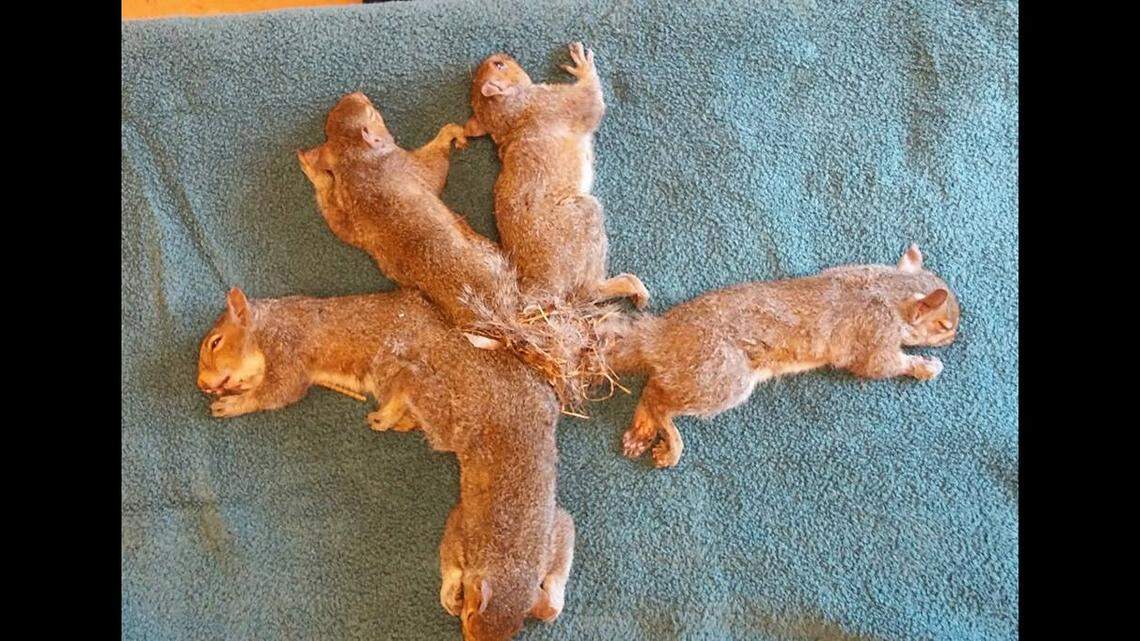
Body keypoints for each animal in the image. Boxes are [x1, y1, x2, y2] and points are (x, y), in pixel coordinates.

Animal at [195, 287, 574, 639]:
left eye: (215, 342)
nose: (202, 384)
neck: (269, 326)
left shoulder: (288, 349)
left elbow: (278, 391)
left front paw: (234, 403)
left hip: (423, 381)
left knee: (408, 389)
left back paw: (390, 414)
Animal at [298, 92, 520, 339]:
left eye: (328, 128)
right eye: (371, 114)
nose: (357, 94)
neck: (356, 162)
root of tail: (495, 311)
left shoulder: (349, 214)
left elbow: (336, 221)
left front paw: (311, 167)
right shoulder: (408, 166)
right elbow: (435, 168)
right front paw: (450, 133)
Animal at [465, 42, 649, 310]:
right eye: (499, 65)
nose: (497, 55)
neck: (510, 115)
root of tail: (540, 287)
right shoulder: (554, 102)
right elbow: (590, 101)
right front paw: (583, 68)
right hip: (583, 218)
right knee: (587, 291)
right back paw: (626, 286)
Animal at [605, 245, 961, 468]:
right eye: (943, 324)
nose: (955, 336)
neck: (886, 290)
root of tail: (660, 335)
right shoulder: (875, 337)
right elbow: (885, 365)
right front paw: (926, 366)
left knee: (652, 387)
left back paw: (641, 430)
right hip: (722, 376)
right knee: (660, 400)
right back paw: (670, 441)